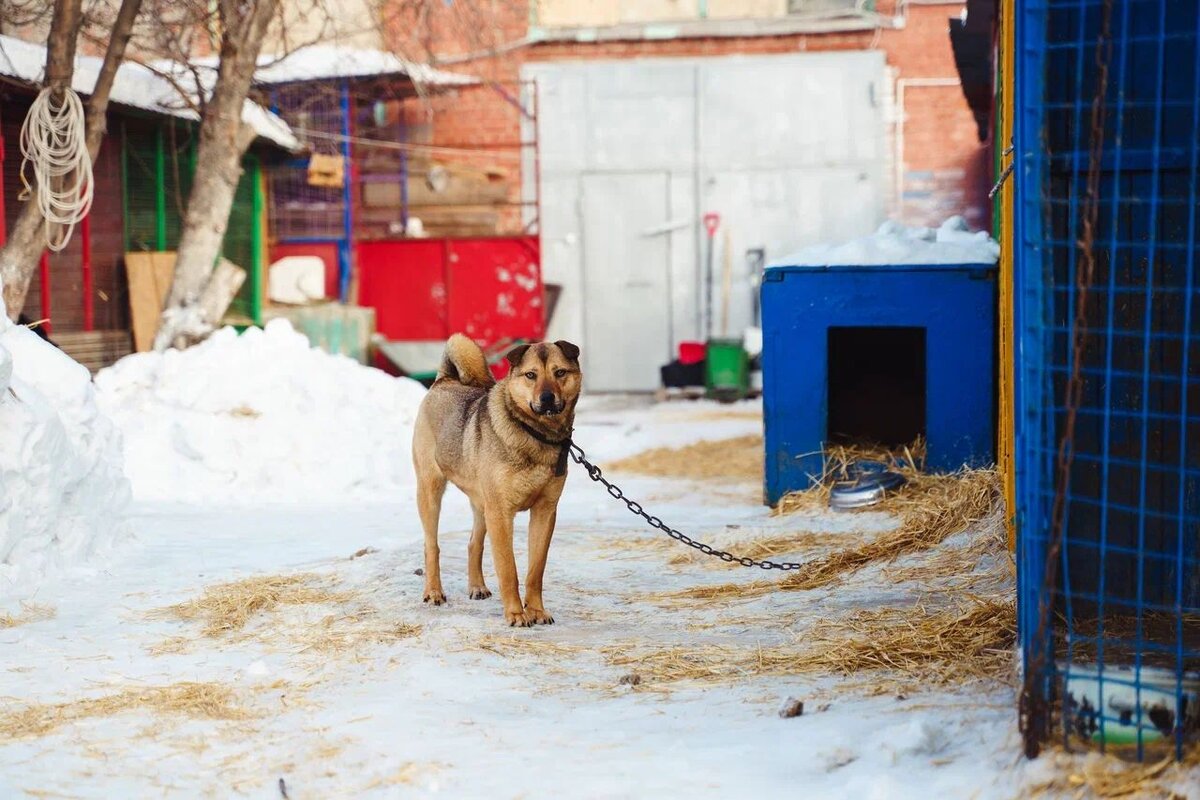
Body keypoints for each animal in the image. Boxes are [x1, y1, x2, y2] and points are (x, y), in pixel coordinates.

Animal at [410, 335, 583, 628]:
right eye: (531, 375)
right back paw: (433, 591)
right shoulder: (501, 514)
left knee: (474, 543)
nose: (547, 398)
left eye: (560, 372)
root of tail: (444, 380)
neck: (535, 434)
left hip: (482, 504)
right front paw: (516, 614)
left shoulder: (545, 511)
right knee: (431, 545)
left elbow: (535, 570)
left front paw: (536, 611)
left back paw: (477, 587)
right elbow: (508, 569)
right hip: (431, 490)